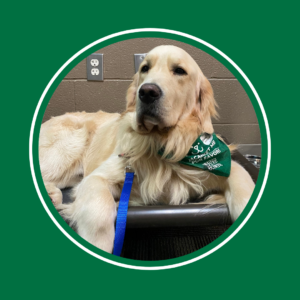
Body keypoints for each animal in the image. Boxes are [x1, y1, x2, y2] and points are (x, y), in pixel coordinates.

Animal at [39, 45, 255, 253]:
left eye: (179, 70)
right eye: (145, 68)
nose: (147, 92)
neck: (164, 144)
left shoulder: (224, 165)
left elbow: (244, 184)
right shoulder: (97, 178)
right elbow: (99, 212)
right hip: (69, 148)